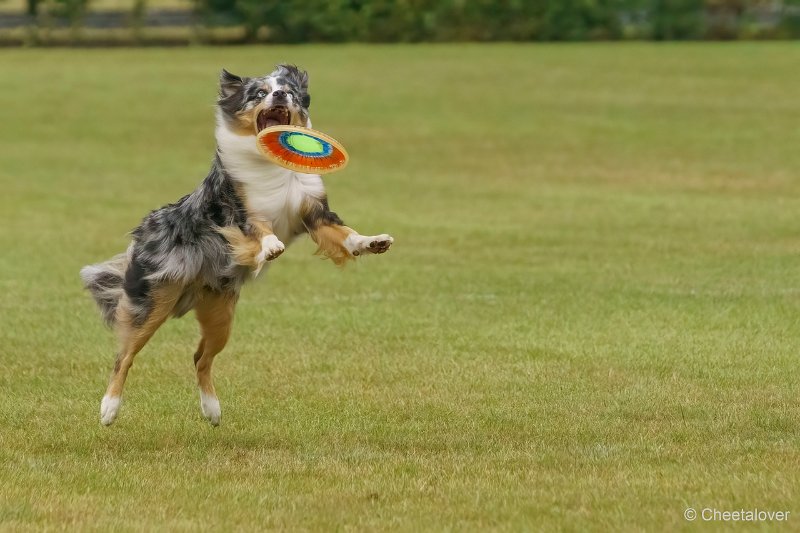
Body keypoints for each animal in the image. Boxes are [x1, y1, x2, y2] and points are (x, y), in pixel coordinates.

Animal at [80, 64, 394, 426]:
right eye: (259, 93)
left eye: (289, 90)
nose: (279, 94)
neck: (274, 166)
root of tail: (145, 230)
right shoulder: (240, 213)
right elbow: (259, 231)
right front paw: (270, 247)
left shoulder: (315, 214)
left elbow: (344, 233)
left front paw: (373, 242)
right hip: (155, 299)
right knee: (124, 355)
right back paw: (109, 409)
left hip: (220, 315)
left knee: (200, 357)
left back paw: (212, 409)